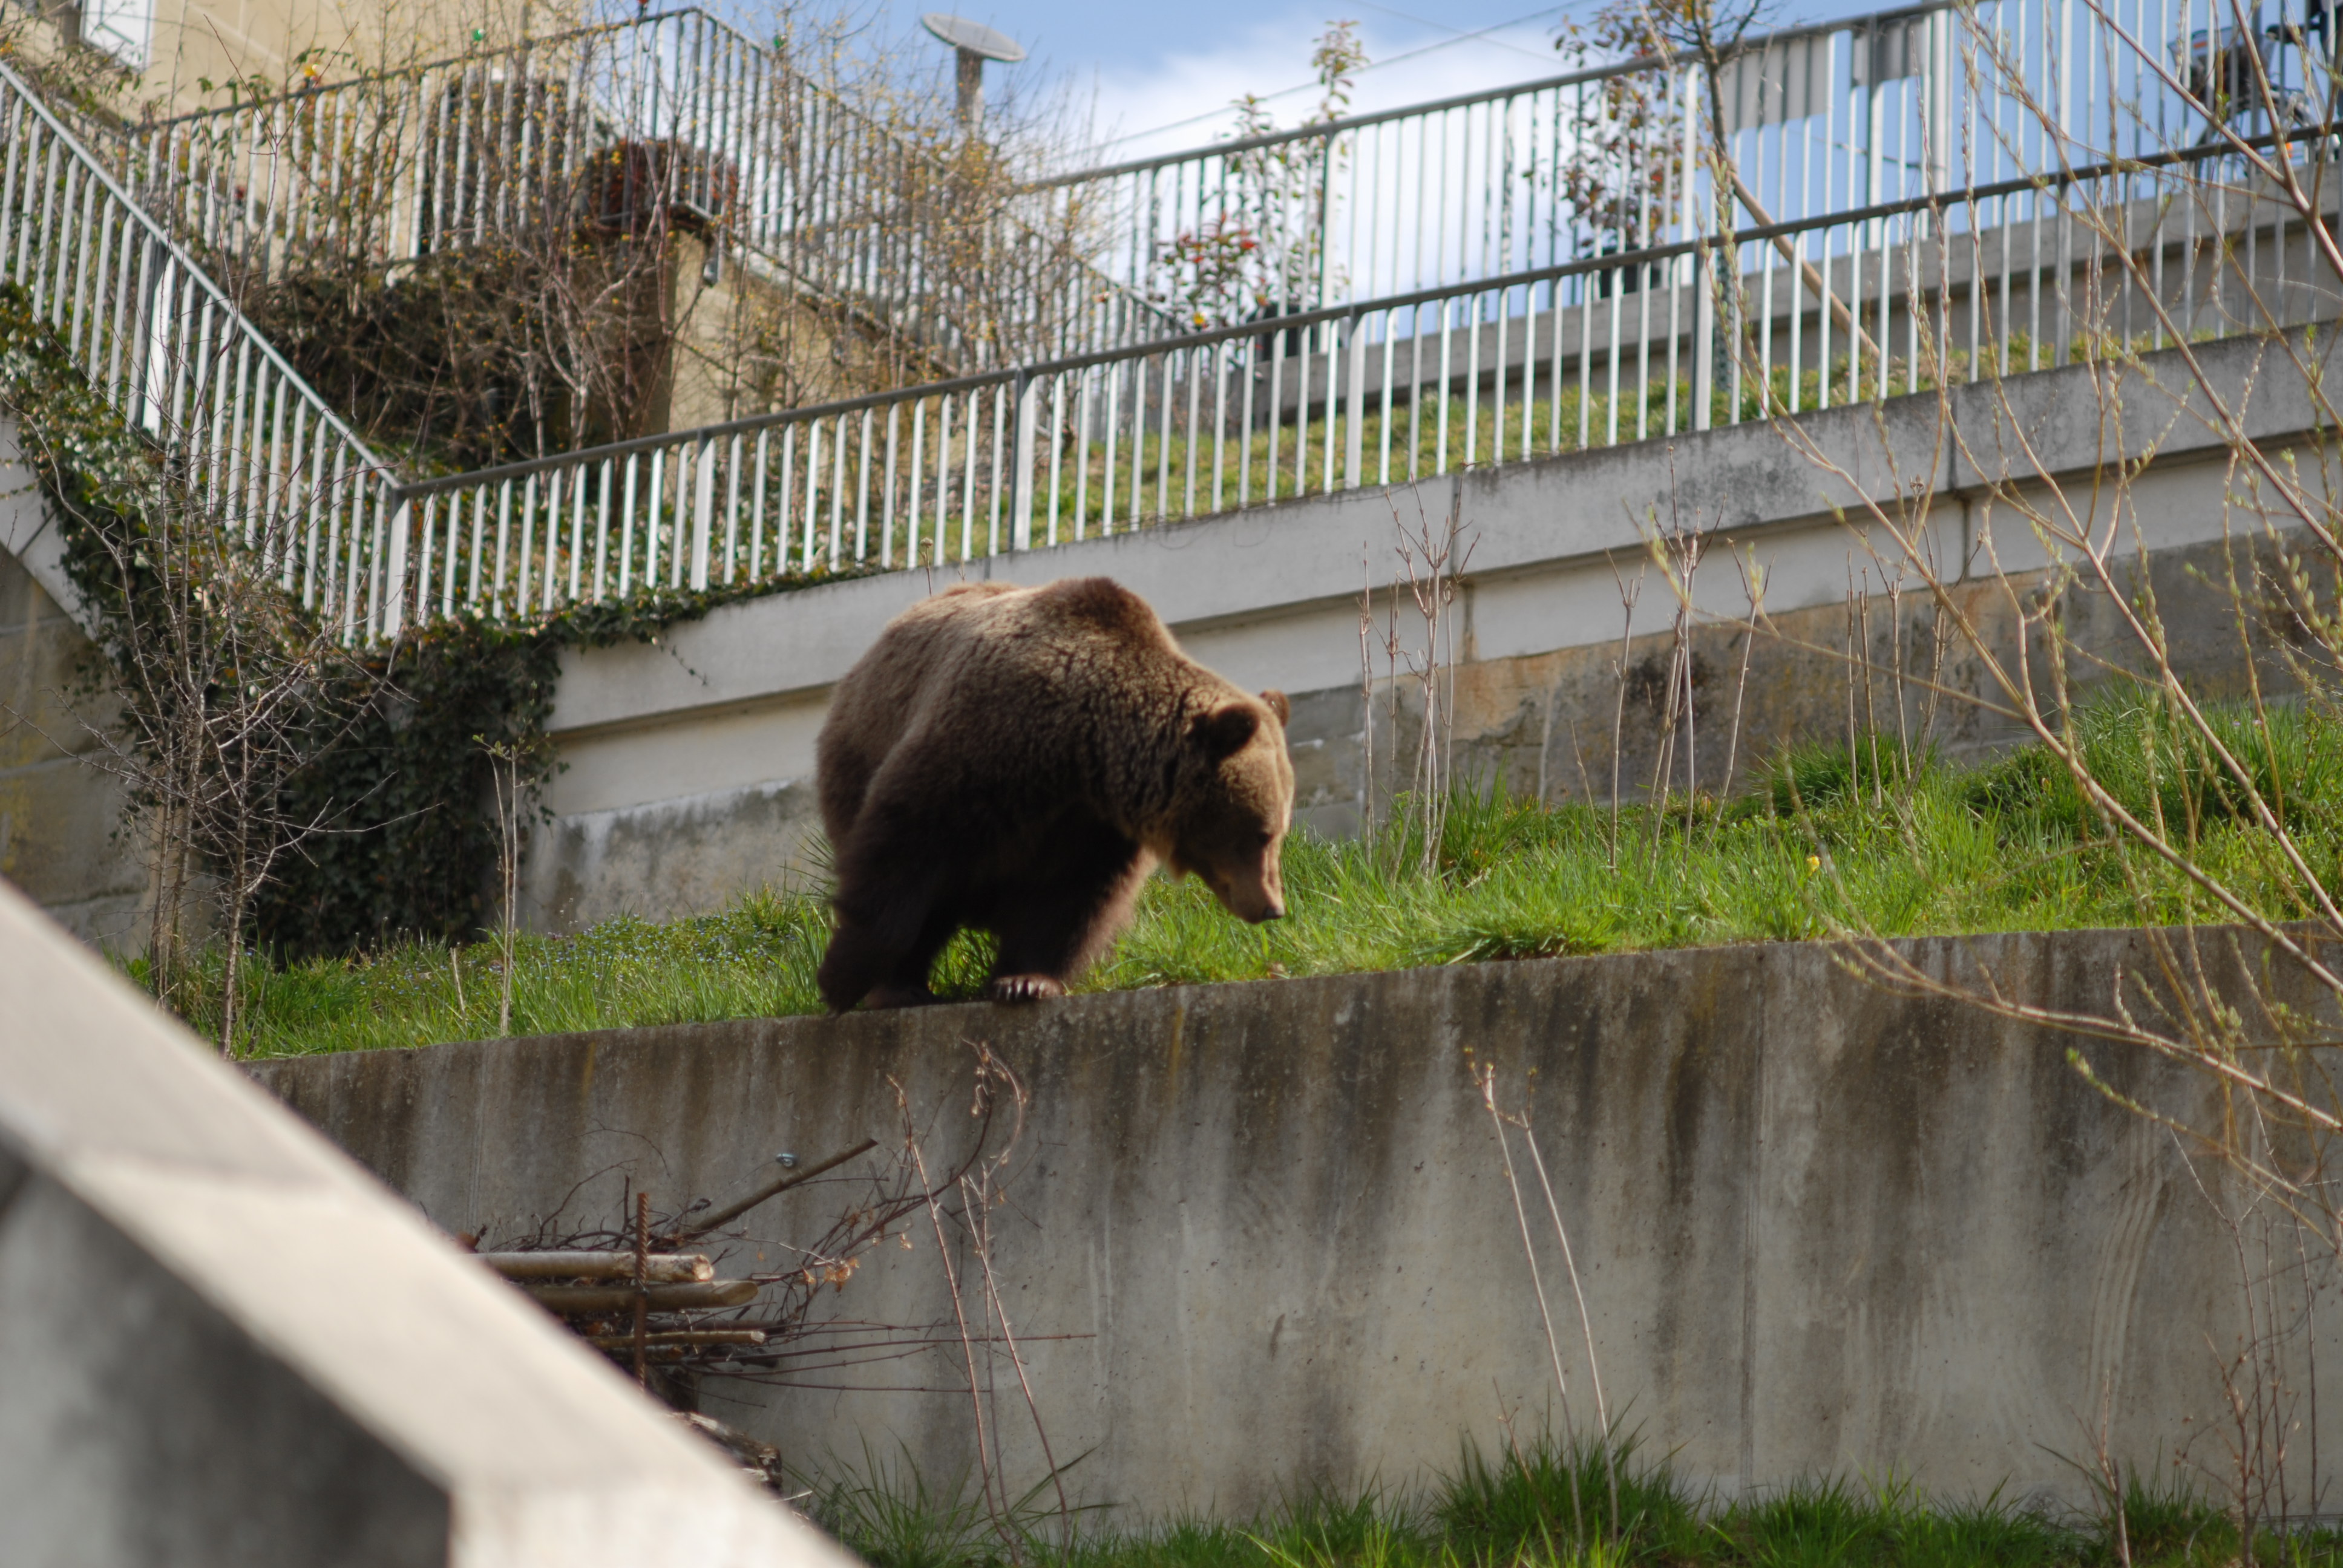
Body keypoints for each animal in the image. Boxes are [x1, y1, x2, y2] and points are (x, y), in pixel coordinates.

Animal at [814, 576, 1294, 1012]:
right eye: (1262, 833)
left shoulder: (1095, 828)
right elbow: (904, 852)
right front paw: (843, 981)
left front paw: (1025, 981)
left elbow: (1068, 900)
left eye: (1279, 833)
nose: (1272, 907)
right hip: (859, 750)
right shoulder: (982, 750)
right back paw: (901, 986)